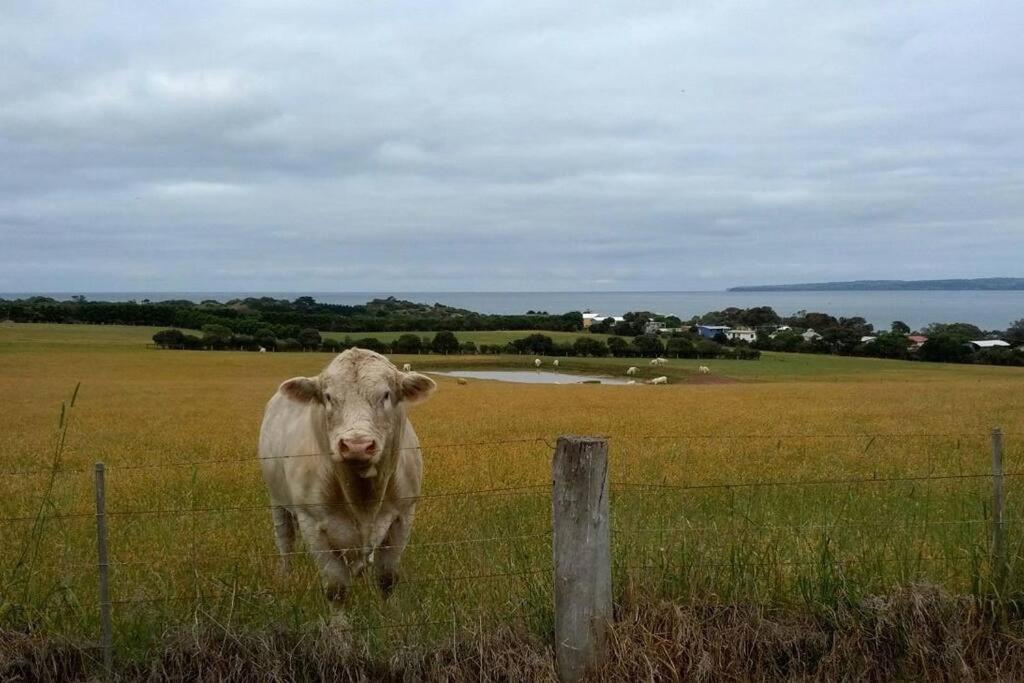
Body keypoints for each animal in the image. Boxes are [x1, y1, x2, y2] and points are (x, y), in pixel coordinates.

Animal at [260, 350, 436, 606]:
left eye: (386, 394)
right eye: (328, 397)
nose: (357, 446)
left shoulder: (402, 517)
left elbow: (387, 580)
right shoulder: (312, 524)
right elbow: (336, 588)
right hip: (278, 502)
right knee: (285, 541)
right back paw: (287, 576)